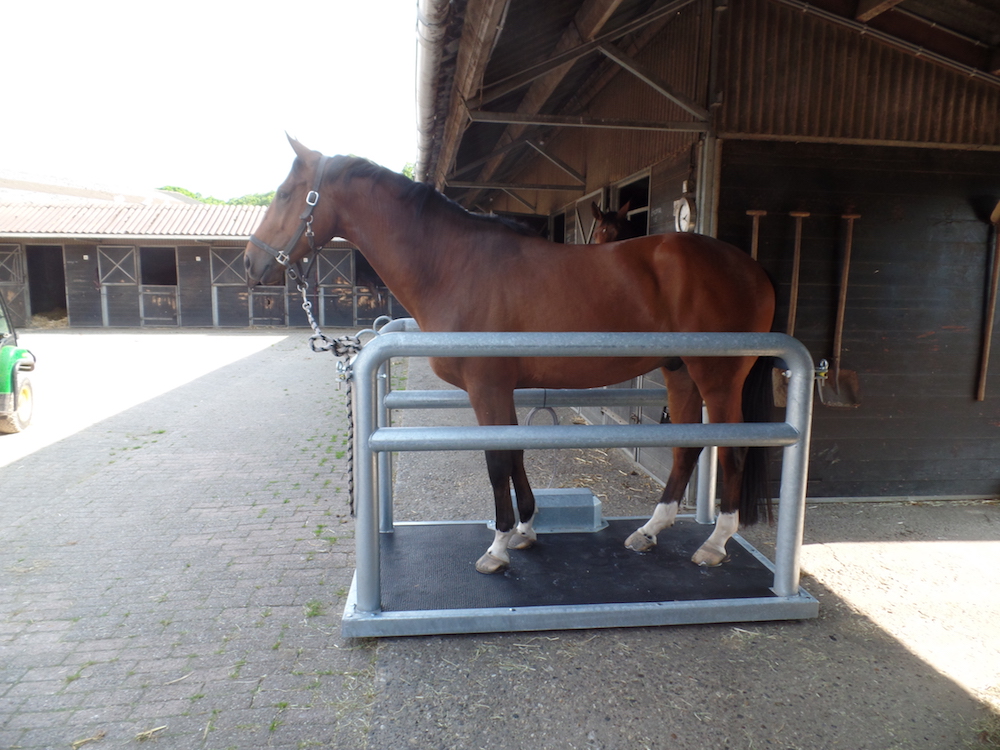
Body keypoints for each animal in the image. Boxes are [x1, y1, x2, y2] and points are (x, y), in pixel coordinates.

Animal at [245, 136, 776, 575]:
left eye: (286, 193)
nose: (252, 264)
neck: (453, 264)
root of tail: (752, 269)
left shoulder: (487, 387)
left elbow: (498, 460)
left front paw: (497, 548)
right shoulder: (501, 389)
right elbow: (516, 452)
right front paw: (525, 530)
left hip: (717, 377)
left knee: (733, 447)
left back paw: (714, 544)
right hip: (679, 372)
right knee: (688, 446)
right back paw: (649, 531)